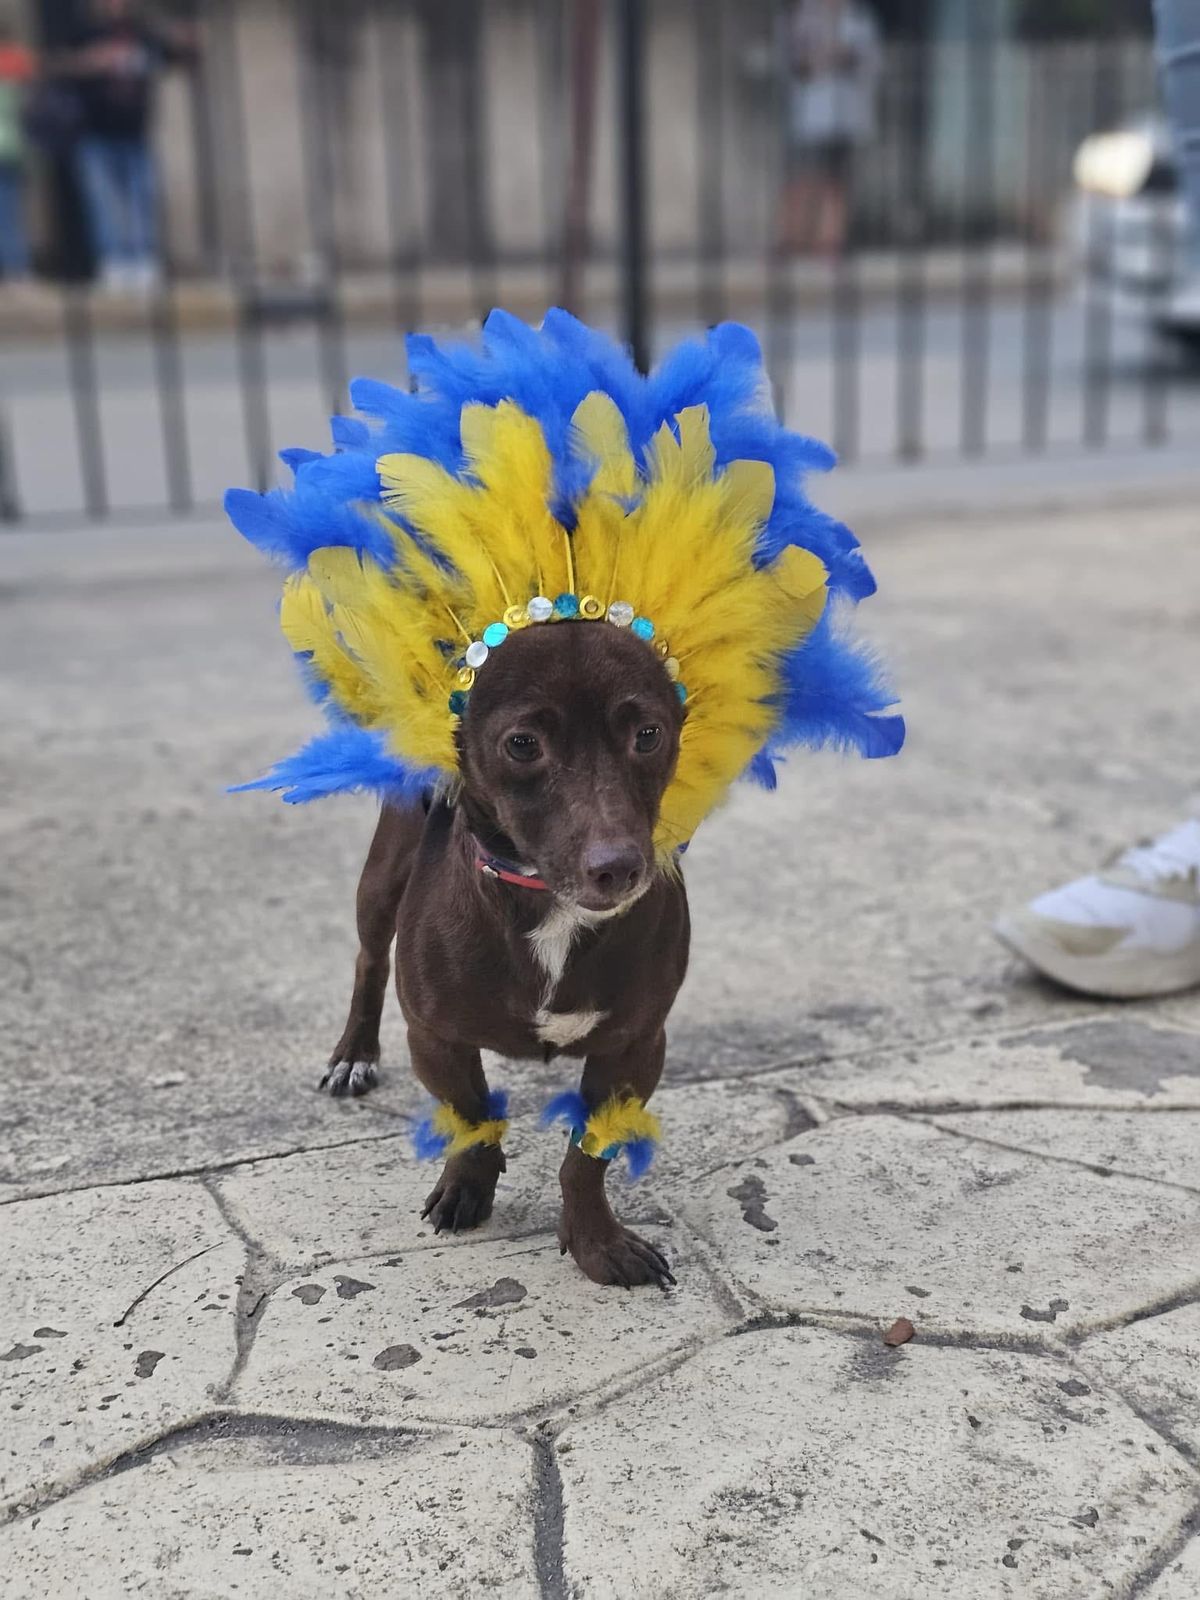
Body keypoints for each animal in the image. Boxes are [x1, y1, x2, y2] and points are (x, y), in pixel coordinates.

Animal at [321, 617, 688, 1289]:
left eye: (648, 735)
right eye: (522, 745)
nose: (618, 869)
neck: (545, 902)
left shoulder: (636, 1048)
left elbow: (585, 1160)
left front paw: (597, 1242)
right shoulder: (434, 1038)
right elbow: (470, 1116)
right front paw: (468, 1187)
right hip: (381, 880)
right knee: (369, 960)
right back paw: (353, 1055)